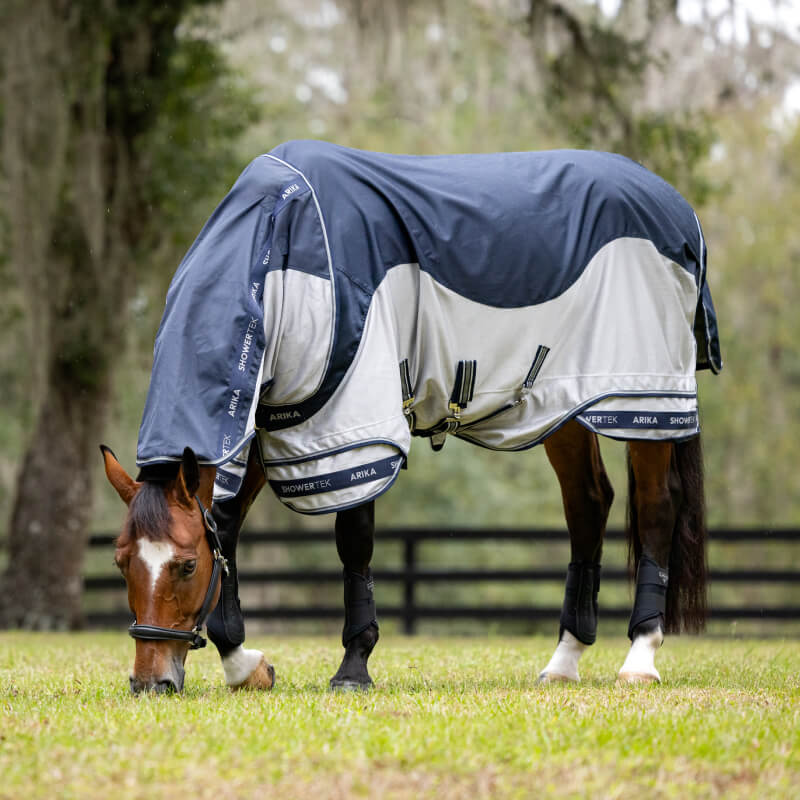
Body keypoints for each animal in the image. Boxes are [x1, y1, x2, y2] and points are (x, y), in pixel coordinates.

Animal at [102, 140, 721, 693]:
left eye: (185, 567)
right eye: (121, 562)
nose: (151, 683)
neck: (283, 250)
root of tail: (674, 205)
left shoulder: (352, 425)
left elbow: (354, 540)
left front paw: (353, 668)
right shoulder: (271, 415)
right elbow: (226, 528)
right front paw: (243, 664)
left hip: (645, 403)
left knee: (657, 508)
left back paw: (640, 659)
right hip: (565, 409)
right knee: (589, 505)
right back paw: (564, 662)